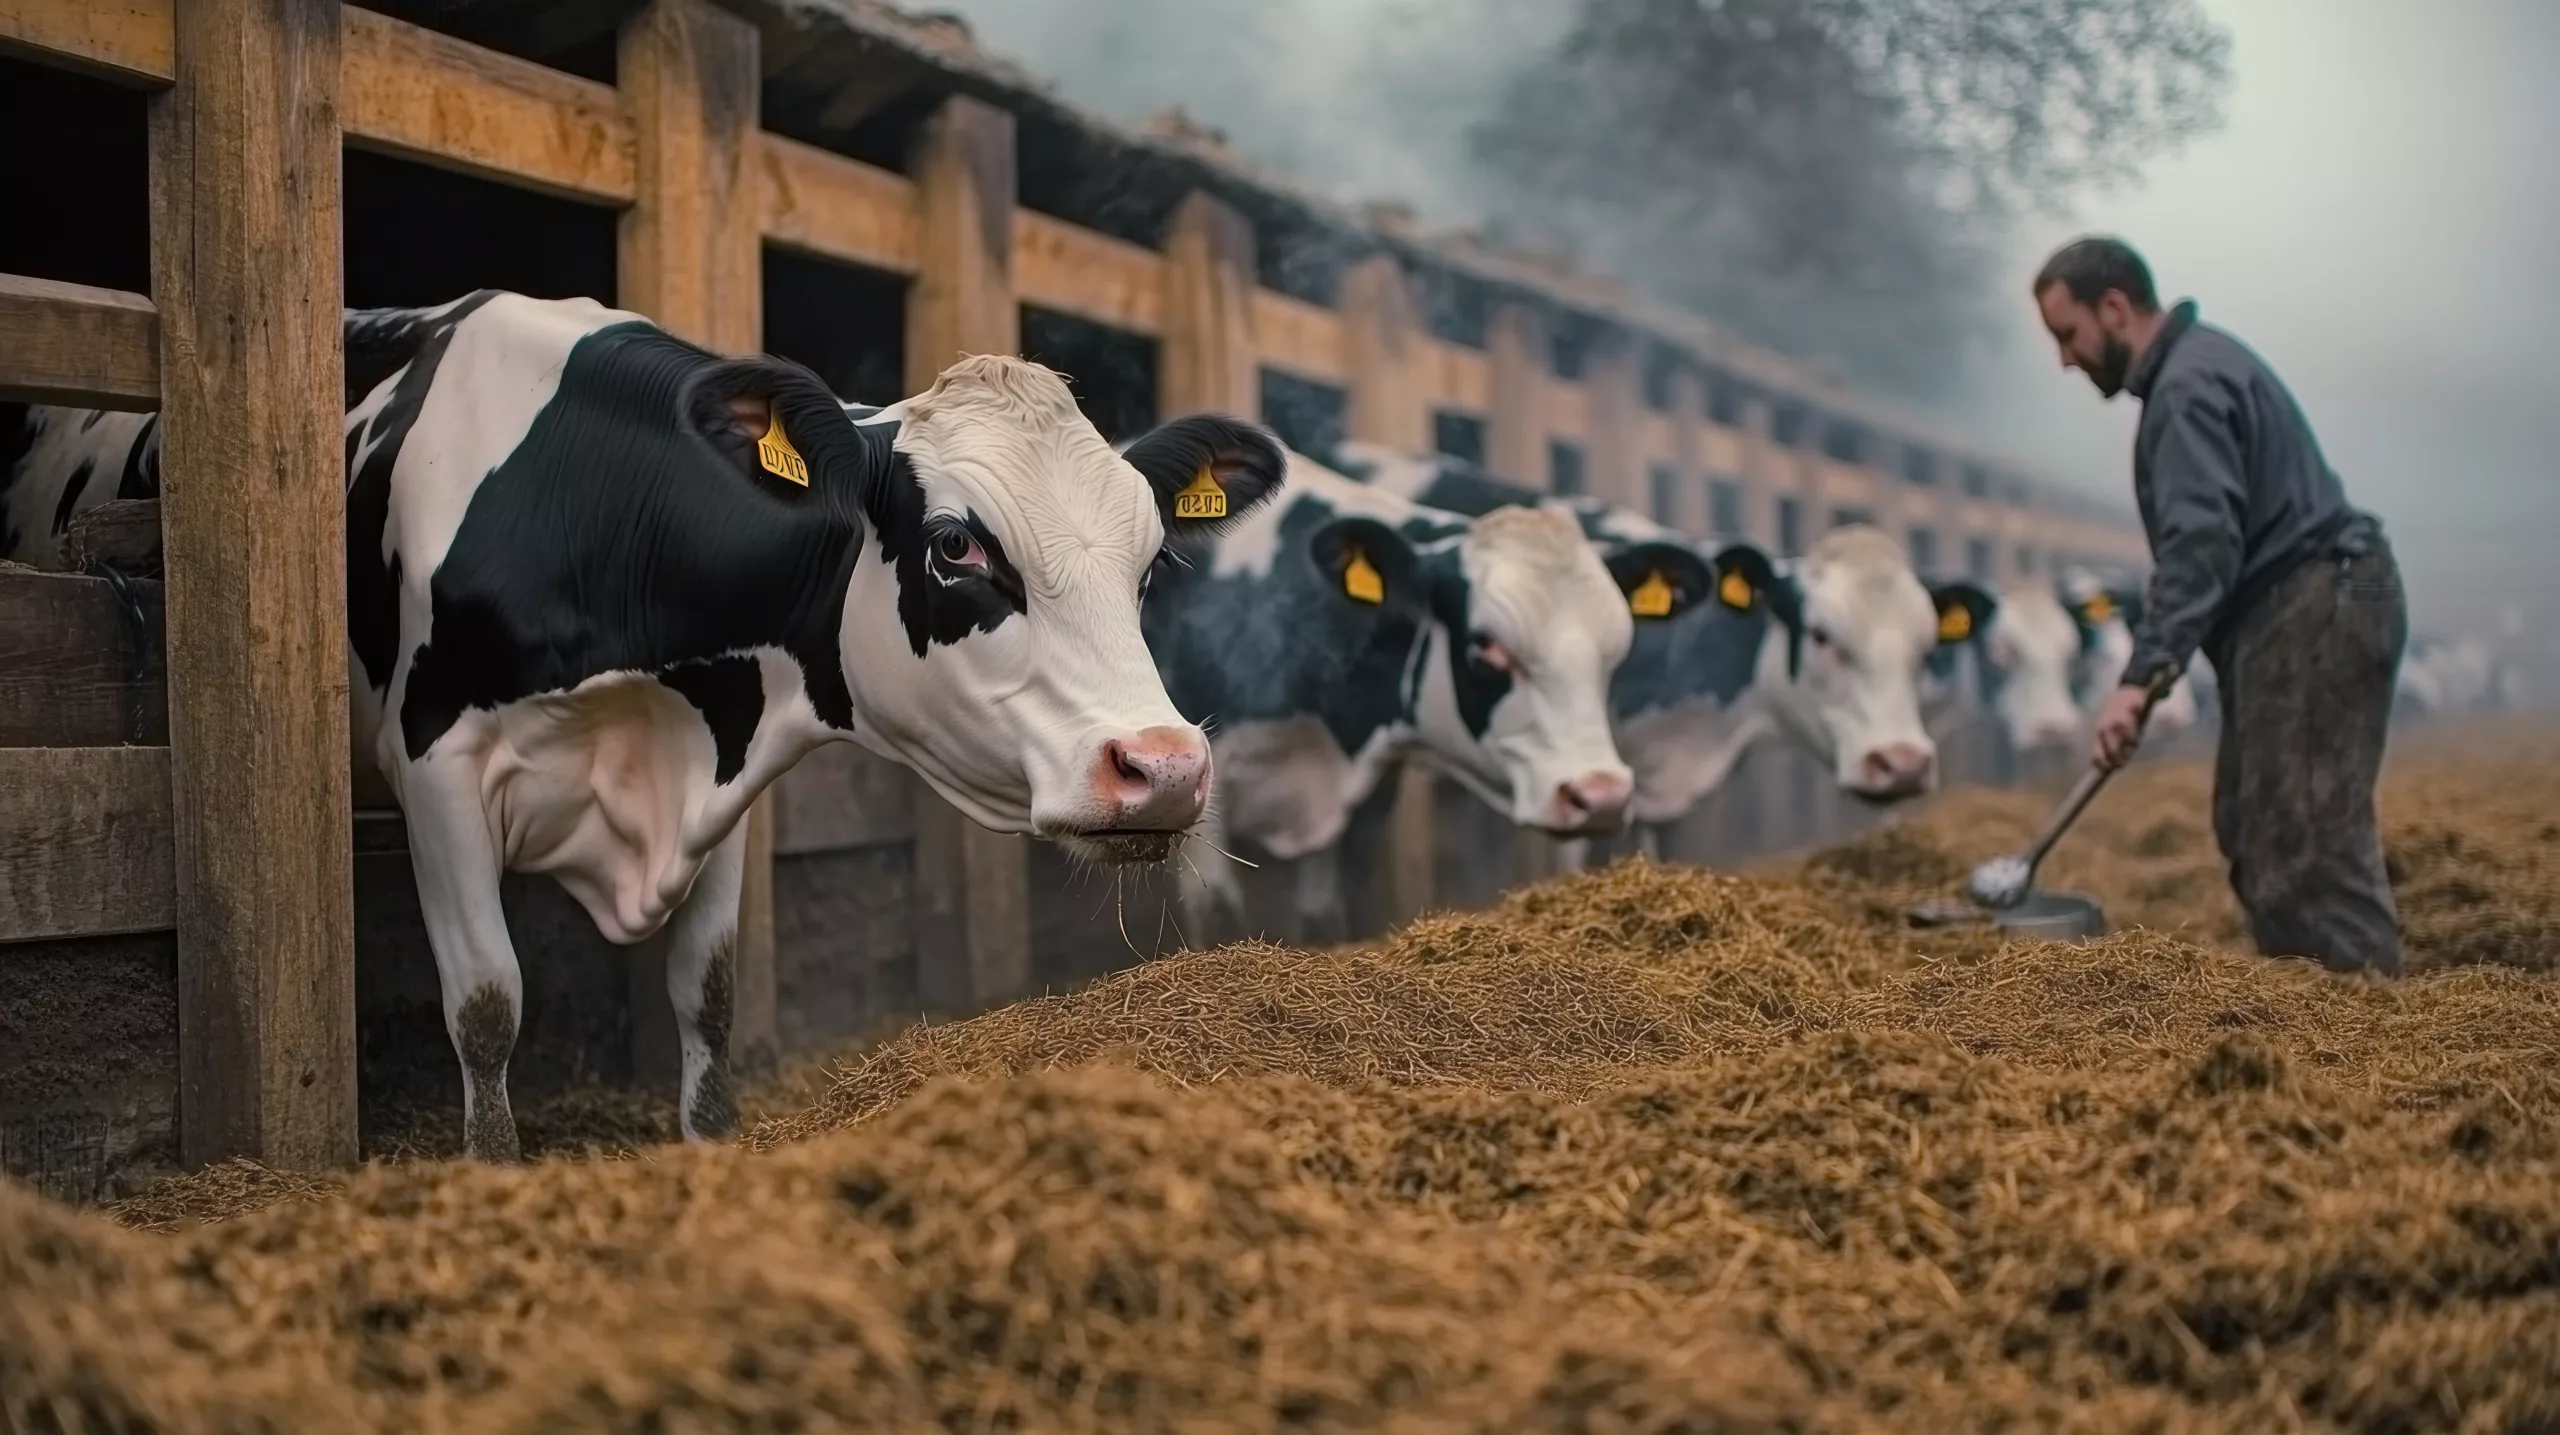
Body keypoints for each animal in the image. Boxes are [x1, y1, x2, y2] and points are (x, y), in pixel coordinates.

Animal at [2, 290, 1287, 1161]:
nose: (1164, 770)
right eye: (957, 544)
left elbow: (704, 998)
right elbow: (487, 1006)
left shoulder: (723, 762)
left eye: (1150, 560)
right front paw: (491, 1172)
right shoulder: (436, 767)